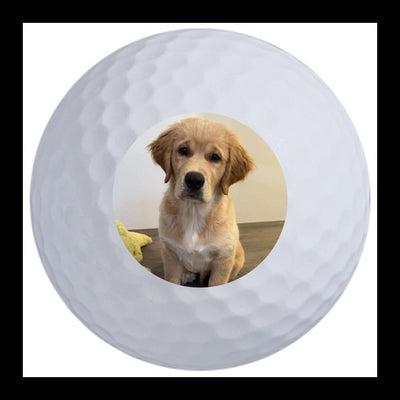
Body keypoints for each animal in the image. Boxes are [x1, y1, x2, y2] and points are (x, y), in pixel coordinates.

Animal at [148, 118, 254, 287]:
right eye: (183, 150)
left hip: (237, 258)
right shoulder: (170, 253)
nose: (194, 180)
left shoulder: (223, 259)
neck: (194, 212)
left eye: (215, 157)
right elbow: (172, 279)